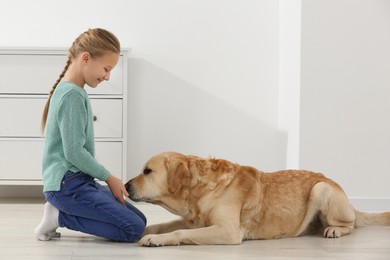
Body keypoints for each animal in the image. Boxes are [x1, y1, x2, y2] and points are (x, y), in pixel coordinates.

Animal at [125, 151, 390, 247]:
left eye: (147, 171)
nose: (125, 186)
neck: (203, 190)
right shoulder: (193, 220)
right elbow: (164, 225)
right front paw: (145, 230)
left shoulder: (228, 231)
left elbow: (178, 232)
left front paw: (154, 240)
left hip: (321, 189)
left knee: (350, 223)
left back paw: (335, 229)